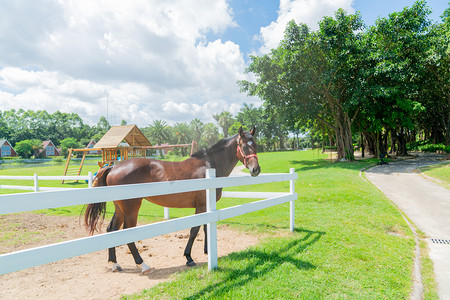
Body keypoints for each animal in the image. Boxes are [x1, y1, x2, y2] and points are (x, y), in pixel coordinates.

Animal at [84, 126, 260, 274]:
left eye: (256, 145)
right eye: (244, 145)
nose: (256, 170)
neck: (208, 166)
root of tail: (114, 166)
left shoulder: (206, 207)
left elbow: (205, 228)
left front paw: (207, 251)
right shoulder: (201, 206)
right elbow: (194, 230)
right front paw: (189, 258)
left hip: (120, 209)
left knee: (111, 229)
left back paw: (115, 263)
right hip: (131, 209)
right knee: (127, 233)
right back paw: (143, 265)